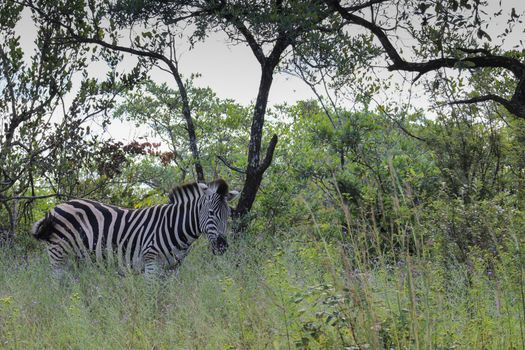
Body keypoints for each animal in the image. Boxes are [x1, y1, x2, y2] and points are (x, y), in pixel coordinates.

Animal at [30, 179, 239, 278]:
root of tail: (54, 209)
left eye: (228, 215)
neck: (174, 225)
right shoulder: (151, 264)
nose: (222, 246)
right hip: (59, 256)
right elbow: (151, 299)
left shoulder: (172, 268)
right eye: (211, 213)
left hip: (77, 260)